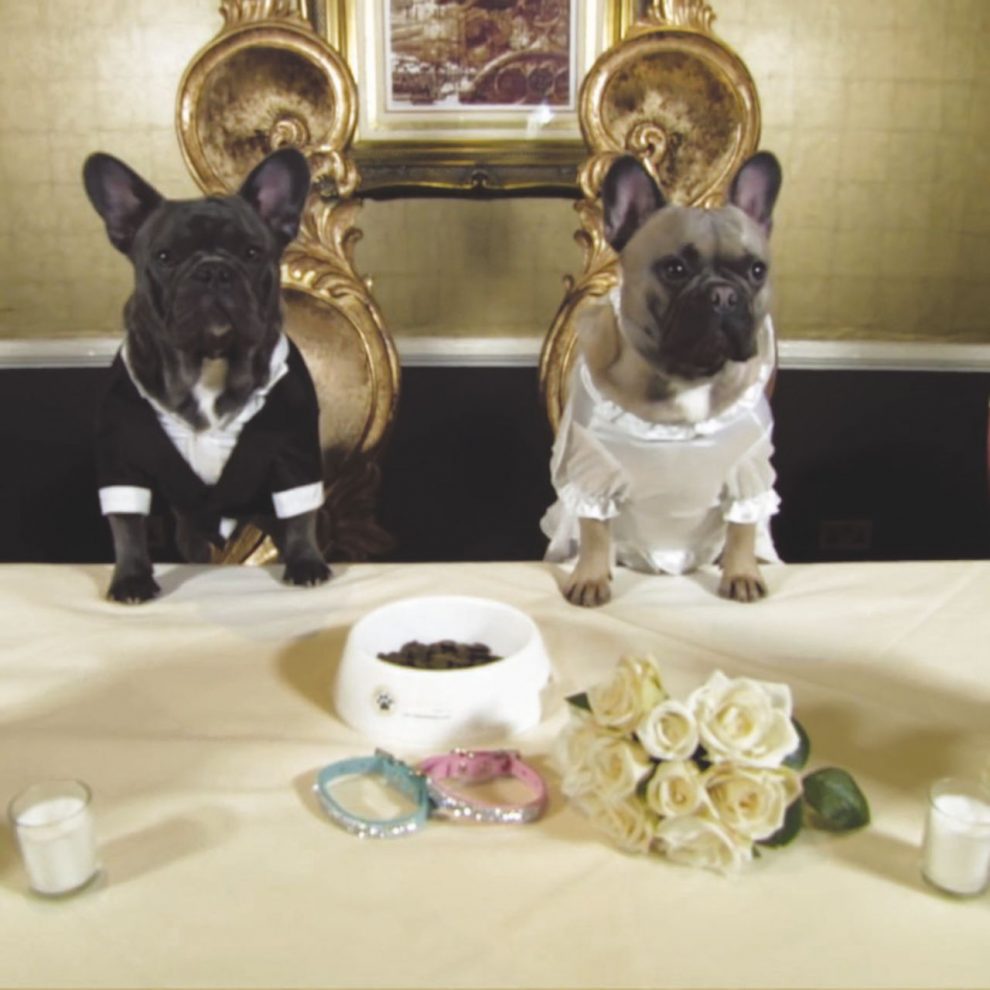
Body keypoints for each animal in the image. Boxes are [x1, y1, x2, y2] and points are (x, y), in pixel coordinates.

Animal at [83, 147, 331, 603]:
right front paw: (131, 578)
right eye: (165, 257)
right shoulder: (119, 455)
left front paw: (306, 563)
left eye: (251, 253)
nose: (214, 270)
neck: (210, 362)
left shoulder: (294, 451)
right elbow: (126, 524)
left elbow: (301, 515)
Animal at [542, 151, 783, 606]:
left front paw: (742, 573)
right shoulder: (593, 474)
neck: (687, 377)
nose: (724, 294)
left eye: (757, 270)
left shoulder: (748, 474)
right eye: (675, 268)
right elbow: (595, 531)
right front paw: (590, 579)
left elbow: (742, 528)